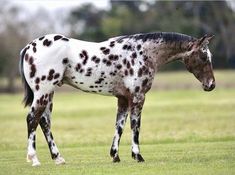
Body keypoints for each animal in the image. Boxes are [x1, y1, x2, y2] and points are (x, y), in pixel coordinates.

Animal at [19, 32, 216, 166]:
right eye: (203, 56)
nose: (211, 85)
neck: (142, 53)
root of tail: (28, 47)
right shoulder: (137, 97)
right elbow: (135, 127)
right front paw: (137, 155)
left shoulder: (122, 99)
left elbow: (119, 126)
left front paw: (115, 155)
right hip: (43, 92)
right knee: (32, 119)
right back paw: (34, 159)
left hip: (48, 94)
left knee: (44, 122)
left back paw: (58, 158)